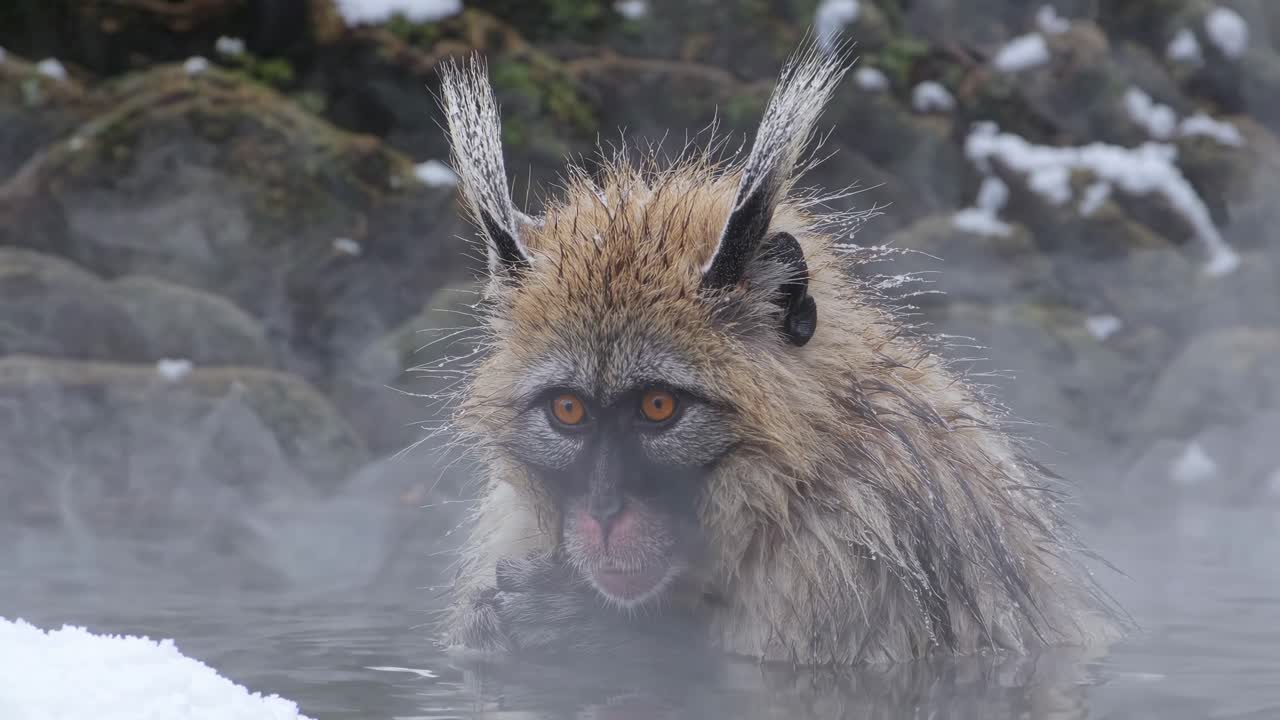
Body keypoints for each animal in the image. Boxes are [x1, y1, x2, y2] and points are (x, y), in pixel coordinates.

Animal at [432, 46, 1122, 666]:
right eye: (568, 411)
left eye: (658, 407)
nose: (603, 514)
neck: (793, 480)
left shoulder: (858, 555)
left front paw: (589, 630)